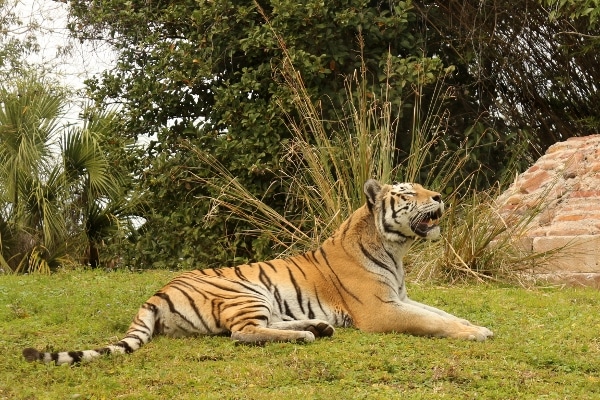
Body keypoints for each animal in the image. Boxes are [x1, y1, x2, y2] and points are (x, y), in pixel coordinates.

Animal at [22, 179, 492, 366]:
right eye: (408, 193)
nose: (440, 196)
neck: (394, 249)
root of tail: (156, 292)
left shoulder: (401, 297)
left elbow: (442, 314)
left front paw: (477, 325)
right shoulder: (382, 310)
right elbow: (430, 323)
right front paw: (474, 335)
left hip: (264, 299)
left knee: (265, 326)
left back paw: (318, 327)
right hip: (247, 291)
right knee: (242, 334)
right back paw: (307, 335)